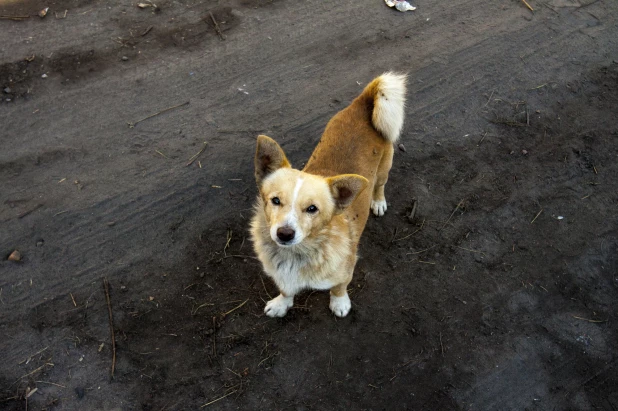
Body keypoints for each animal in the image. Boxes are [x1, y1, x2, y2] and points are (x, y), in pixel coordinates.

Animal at [250, 73, 404, 318]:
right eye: (275, 200)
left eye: (312, 209)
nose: (284, 234)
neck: (297, 254)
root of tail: (363, 103)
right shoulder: (282, 276)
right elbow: (286, 290)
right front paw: (282, 303)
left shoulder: (346, 270)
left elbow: (339, 287)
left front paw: (339, 303)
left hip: (383, 169)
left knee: (380, 185)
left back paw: (378, 202)